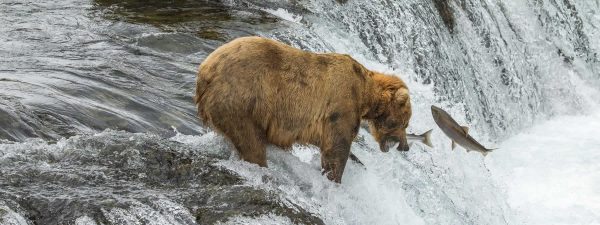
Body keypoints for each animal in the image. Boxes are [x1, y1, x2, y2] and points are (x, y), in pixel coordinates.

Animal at [195, 36, 410, 183]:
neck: (366, 93)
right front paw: (334, 179)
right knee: (251, 142)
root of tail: (205, 70)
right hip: (242, 100)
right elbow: (336, 148)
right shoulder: (342, 105)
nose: (405, 146)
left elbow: (325, 142)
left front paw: (357, 163)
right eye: (405, 123)